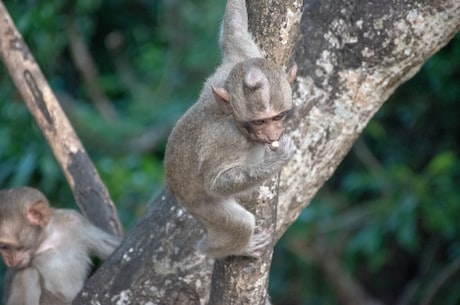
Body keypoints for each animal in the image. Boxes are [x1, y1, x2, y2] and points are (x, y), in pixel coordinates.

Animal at [164, 0, 296, 258]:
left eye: (277, 117)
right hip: (201, 205)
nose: (272, 134)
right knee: (240, 222)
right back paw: (223, 249)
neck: (235, 122)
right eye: (259, 122)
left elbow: (233, 34)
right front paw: (278, 160)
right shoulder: (227, 141)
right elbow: (216, 181)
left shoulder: (241, 60)